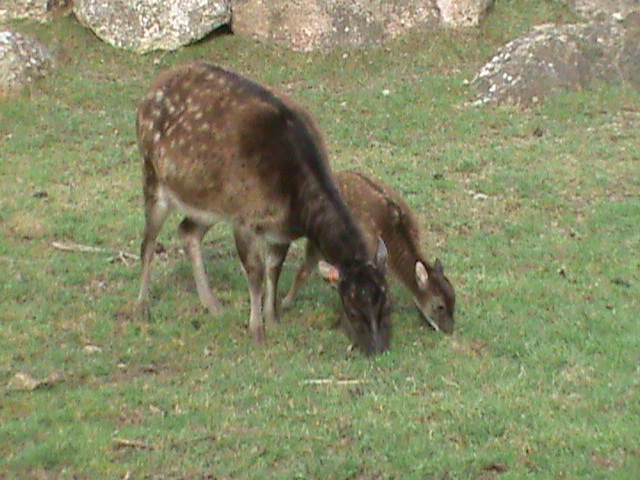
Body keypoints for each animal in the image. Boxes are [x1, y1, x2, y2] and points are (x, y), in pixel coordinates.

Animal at [135, 62, 392, 355]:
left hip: (211, 203)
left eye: (386, 303)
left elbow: (274, 270)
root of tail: (149, 93)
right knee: (148, 242)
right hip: (153, 175)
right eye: (350, 308)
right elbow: (255, 274)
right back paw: (142, 308)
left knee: (187, 231)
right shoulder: (244, 220)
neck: (293, 202)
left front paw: (274, 319)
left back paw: (213, 304)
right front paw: (257, 332)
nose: (377, 348)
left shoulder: (280, 230)